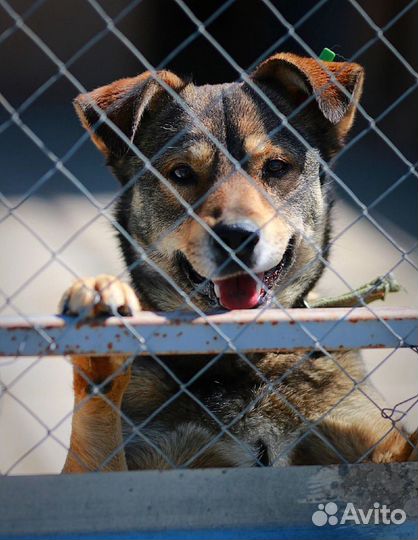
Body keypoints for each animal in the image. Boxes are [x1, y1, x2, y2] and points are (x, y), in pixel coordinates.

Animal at [60, 52, 416, 470]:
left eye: (276, 167)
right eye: (182, 172)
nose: (235, 237)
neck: (242, 362)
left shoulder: (372, 440)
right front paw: (99, 312)